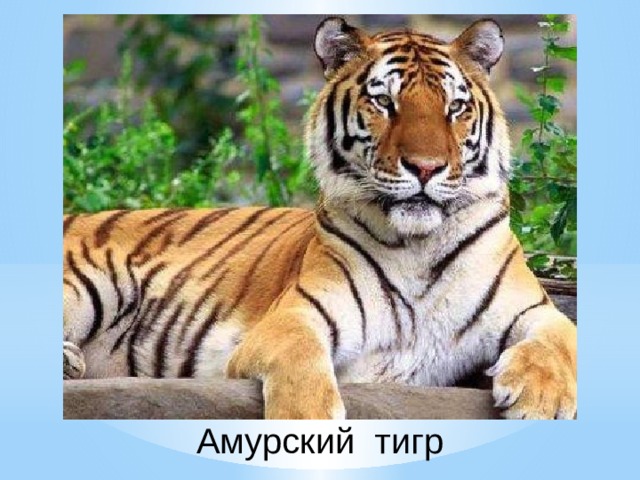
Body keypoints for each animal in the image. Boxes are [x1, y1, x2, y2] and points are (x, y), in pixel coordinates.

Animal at [63, 17, 577, 420]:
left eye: (455, 107)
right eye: (385, 103)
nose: (426, 167)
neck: (418, 245)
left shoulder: (535, 310)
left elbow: (560, 338)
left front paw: (541, 401)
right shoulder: (296, 316)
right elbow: (302, 364)